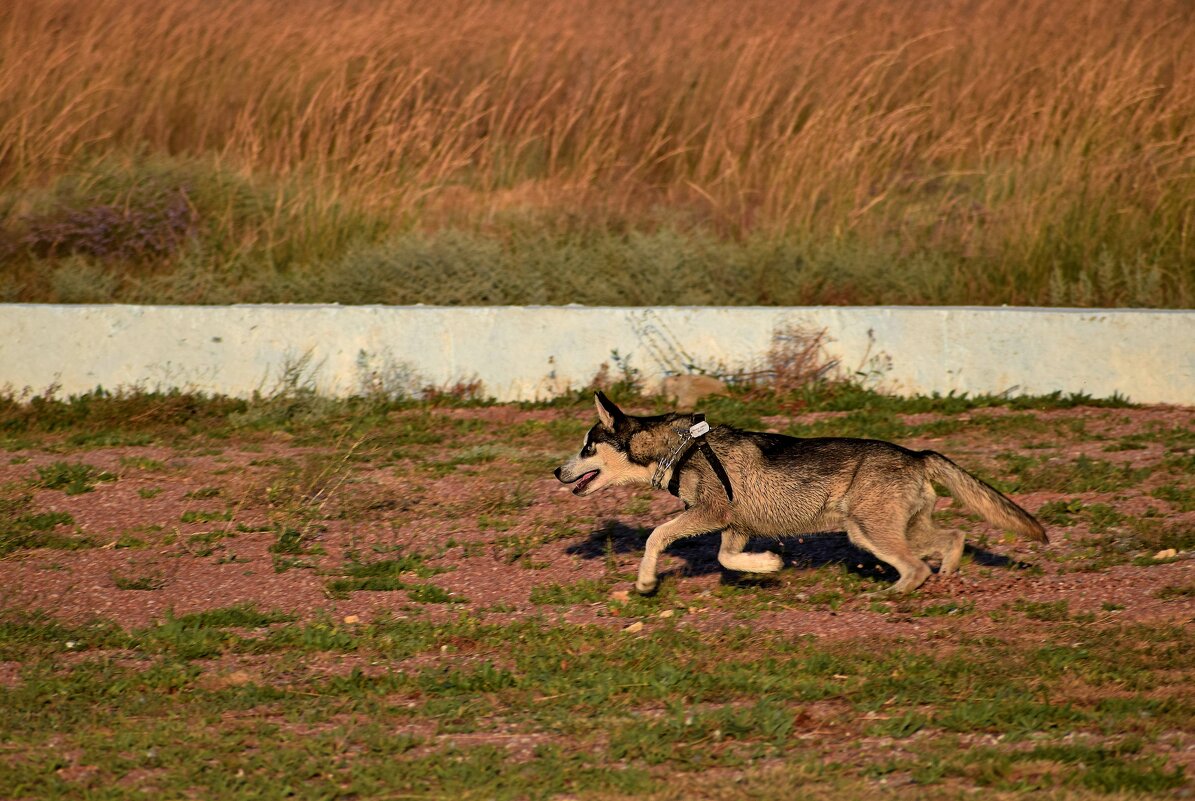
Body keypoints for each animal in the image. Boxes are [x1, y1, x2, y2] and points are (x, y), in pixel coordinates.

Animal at [552, 394, 1046, 595]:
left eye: (587, 447)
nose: (556, 471)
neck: (681, 447)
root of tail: (916, 454)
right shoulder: (735, 527)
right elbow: (727, 559)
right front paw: (769, 566)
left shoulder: (710, 514)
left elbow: (656, 536)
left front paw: (646, 582)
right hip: (897, 528)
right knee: (953, 539)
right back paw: (947, 574)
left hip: (869, 533)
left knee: (915, 567)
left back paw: (893, 594)